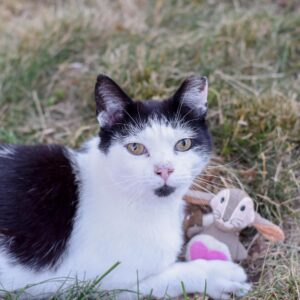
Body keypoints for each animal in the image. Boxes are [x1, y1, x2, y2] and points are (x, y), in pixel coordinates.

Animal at [0, 74, 250, 298]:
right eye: (135, 148)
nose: (164, 169)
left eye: (183, 144)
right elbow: (173, 275)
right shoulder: (98, 284)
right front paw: (216, 274)